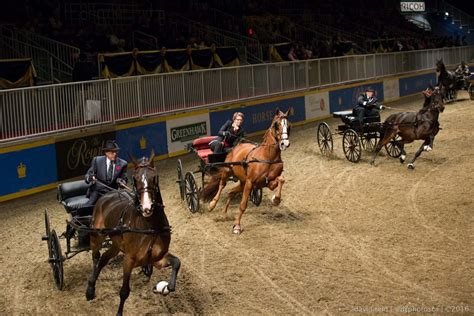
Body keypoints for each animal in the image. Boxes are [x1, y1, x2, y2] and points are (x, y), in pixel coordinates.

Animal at [86, 152, 181, 314]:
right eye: (135, 179)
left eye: (154, 177)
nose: (147, 208)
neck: (150, 226)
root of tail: (108, 194)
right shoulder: (129, 260)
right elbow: (124, 291)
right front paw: (119, 312)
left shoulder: (157, 258)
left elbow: (176, 263)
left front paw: (166, 287)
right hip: (96, 235)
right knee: (96, 257)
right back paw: (90, 289)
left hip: (116, 244)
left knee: (104, 258)